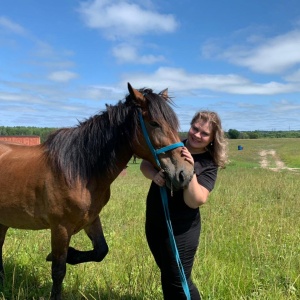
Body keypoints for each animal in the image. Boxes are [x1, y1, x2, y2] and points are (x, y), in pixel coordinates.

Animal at [0, 82, 193, 300]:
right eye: (154, 123)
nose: (184, 173)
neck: (79, 171)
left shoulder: (91, 219)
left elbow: (101, 251)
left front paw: (71, 254)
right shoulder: (60, 228)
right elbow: (58, 270)